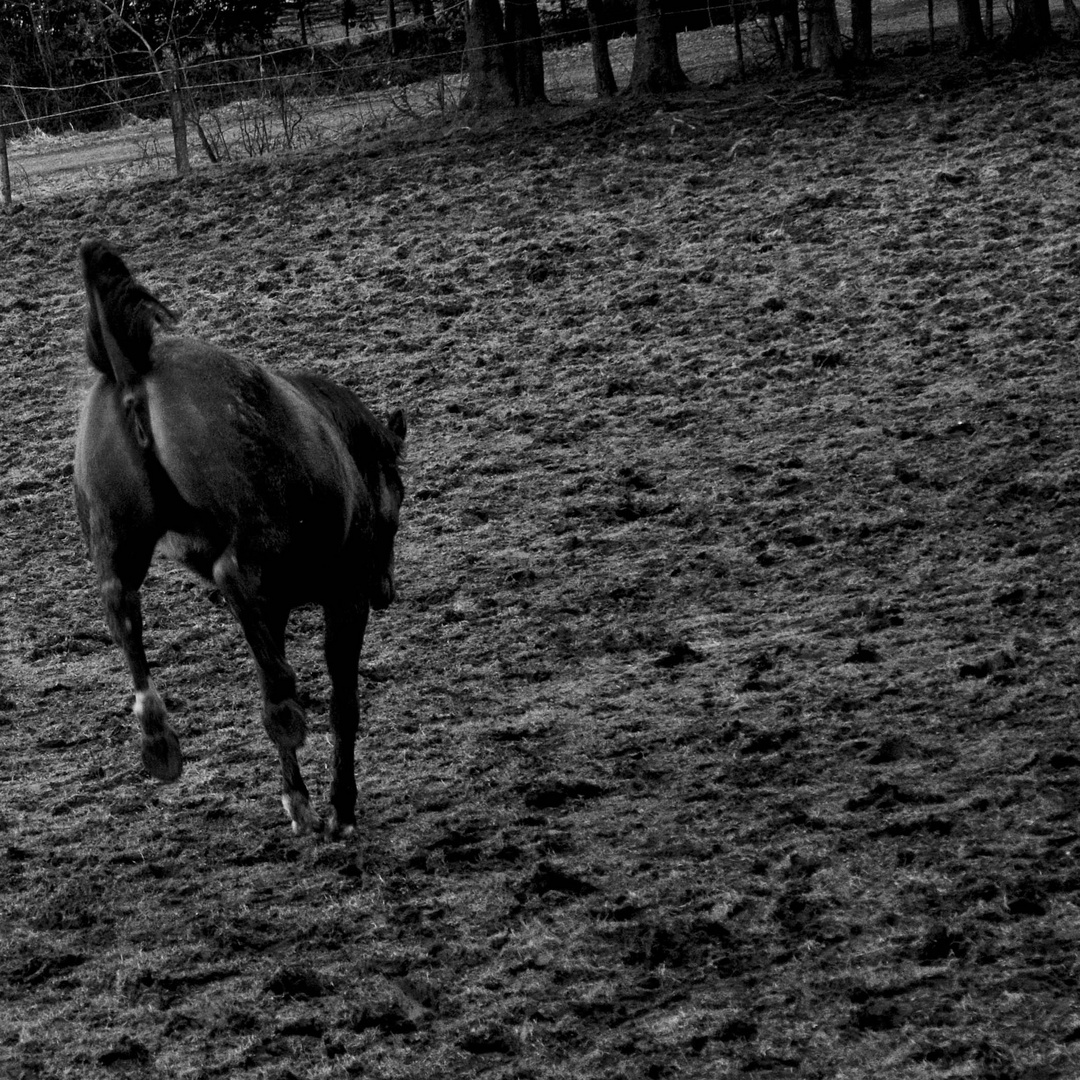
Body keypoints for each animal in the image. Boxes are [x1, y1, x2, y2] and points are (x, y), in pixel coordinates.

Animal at [73, 240, 406, 833]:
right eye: (402, 499)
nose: (385, 590)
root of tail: (133, 366)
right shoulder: (344, 595)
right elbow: (344, 701)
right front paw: (340, 806)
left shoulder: (272, 609)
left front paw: (298, 800)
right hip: (259, 531)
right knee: (228, 574)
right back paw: (281, 708)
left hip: (118, 539)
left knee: (121, 604)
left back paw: (160, 737)